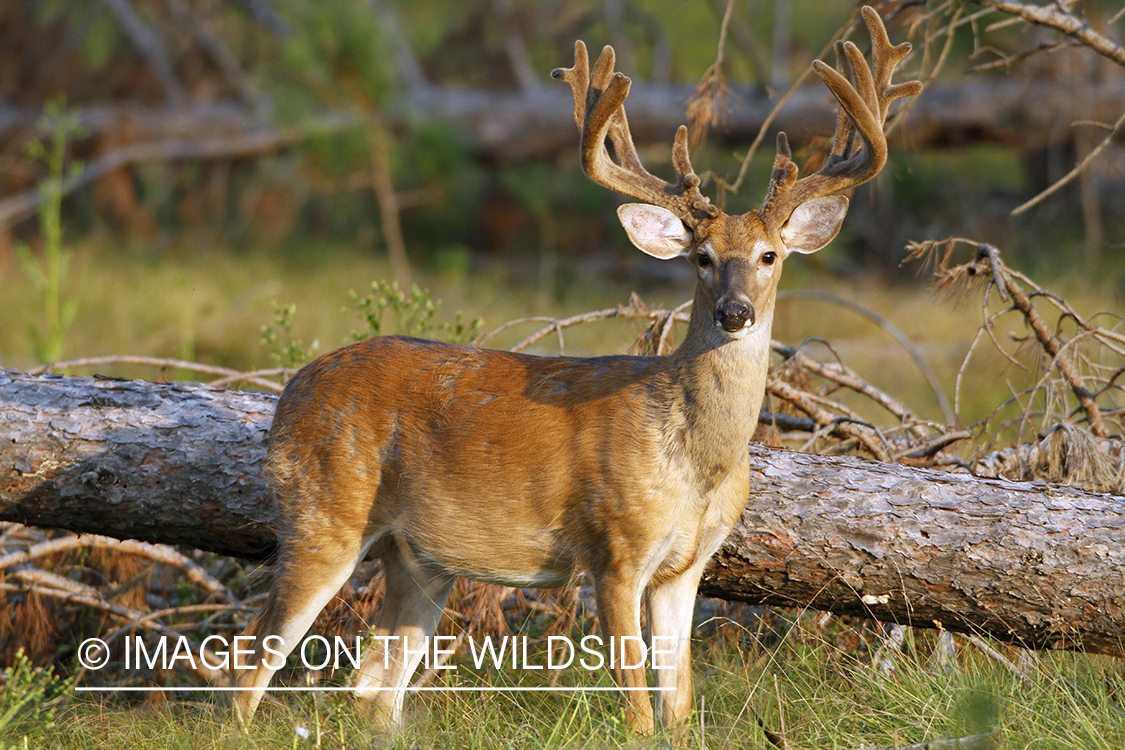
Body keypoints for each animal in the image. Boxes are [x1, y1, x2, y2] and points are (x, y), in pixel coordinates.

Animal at [230, 5, 922, 733]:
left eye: (769, 256)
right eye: (701, 257)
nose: (735, 312)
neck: (697, 464)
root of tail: (290, 391)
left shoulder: (687, 566)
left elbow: (679, 701)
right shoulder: (613, 546)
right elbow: (637, 703)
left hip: (420, 558)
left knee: (372, 688)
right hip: (323, 512)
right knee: (250, 661)